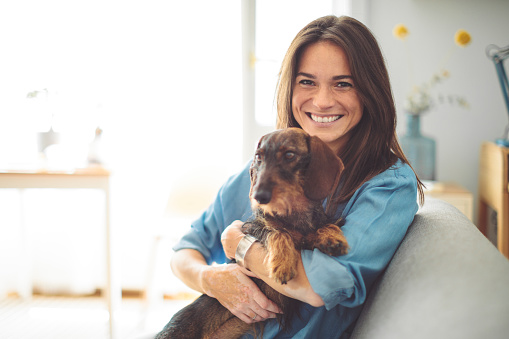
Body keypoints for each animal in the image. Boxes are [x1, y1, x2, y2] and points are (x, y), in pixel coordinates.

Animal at [156, 128, 350, 339]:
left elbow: (323, 226)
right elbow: (278, 232)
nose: (259, 196)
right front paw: (283, 263)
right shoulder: (253, 227)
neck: (293, 213)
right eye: (258, 157)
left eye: (289, 155)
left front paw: (332, 238)